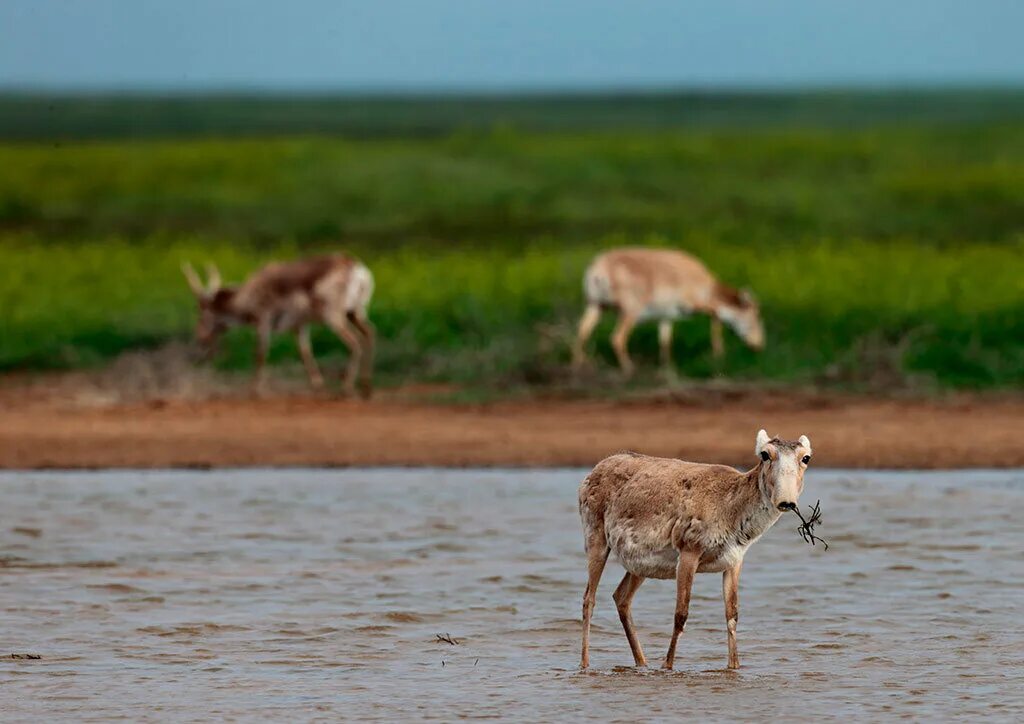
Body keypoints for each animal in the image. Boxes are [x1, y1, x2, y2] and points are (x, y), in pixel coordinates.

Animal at [183, 254, 376, 397]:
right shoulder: (299, 325)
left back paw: (347, 388)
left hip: (334, 316)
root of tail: (357, 268)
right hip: (355, 313)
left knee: (354, 342)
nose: (199, 338)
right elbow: (305, 352)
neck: (247, 294)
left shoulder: (263, 320)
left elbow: (260, 353)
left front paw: (253, 391)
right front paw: (318, 386)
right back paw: (366, 389)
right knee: (369, 333)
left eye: (200, 313)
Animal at [573, 246, 765, 376]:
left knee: (582, 332)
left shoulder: (666, 317)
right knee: (617, 338)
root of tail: (598, 270)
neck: (709, 288)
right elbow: (716, 314)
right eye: (755, 316)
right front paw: (718, 354)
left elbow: (665, 341)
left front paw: (667, 367)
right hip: (630, 312)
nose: (759, 346)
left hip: (595, 305)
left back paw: (580, 366)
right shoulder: (694, 303)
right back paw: (629, 368)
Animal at [581, 428, 811, 671]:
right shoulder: (688, 553)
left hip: (639, 566)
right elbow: (681, 614)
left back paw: (642, 663)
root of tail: (594, 470)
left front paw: (734, 667)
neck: (730, 506)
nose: (786, 502)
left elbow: (732, 615)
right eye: (765, 454)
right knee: (589, 599)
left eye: (806, 457)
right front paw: (667, 667)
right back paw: (585, 665)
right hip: (596, 540)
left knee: (621, 598)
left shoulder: (733, 562)